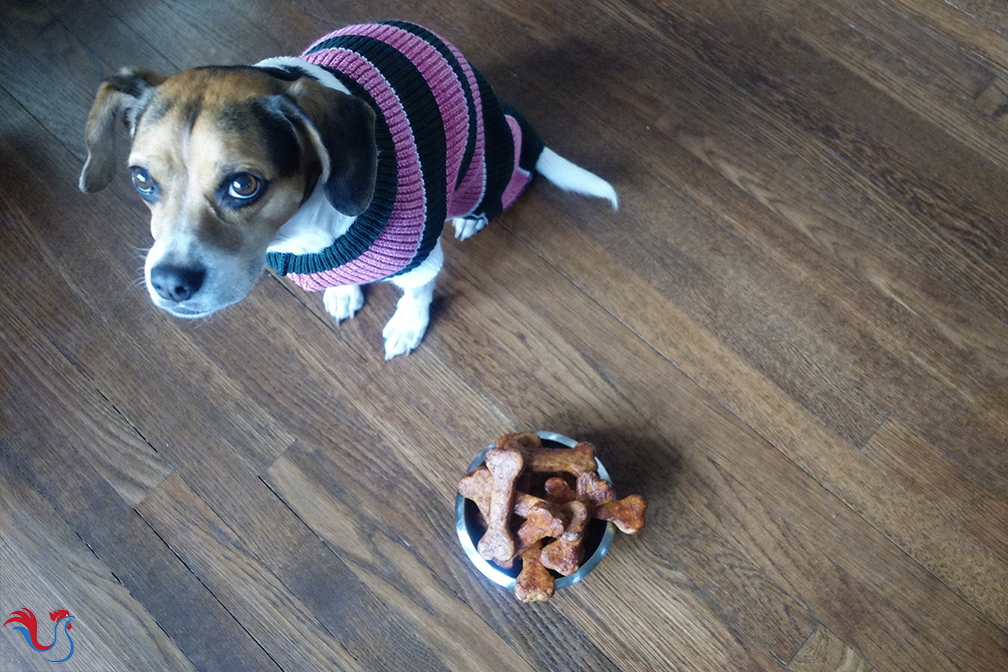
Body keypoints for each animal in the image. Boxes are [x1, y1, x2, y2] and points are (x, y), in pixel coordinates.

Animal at [80, 19, 612, 356]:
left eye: (244, 185)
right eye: (141, 179)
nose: (169, 283)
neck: (301, 231)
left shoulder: (417, 255)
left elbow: (417, 291)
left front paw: (406, 327)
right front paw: (342, 291)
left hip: (483, 176)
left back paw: (472, 216)